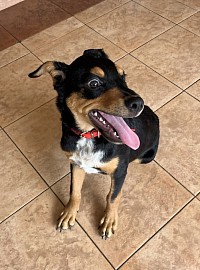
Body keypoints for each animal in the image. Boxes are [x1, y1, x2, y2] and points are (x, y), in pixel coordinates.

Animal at [28, 48, 159, 238]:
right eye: (94, 83)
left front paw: (109, 221)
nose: (139, 103)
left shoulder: (119, 170)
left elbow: (112, 196)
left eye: (123, 76)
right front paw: (69, 214)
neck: (89, 136)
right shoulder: (76, 163)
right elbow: (75, 191)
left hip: (146, 157)